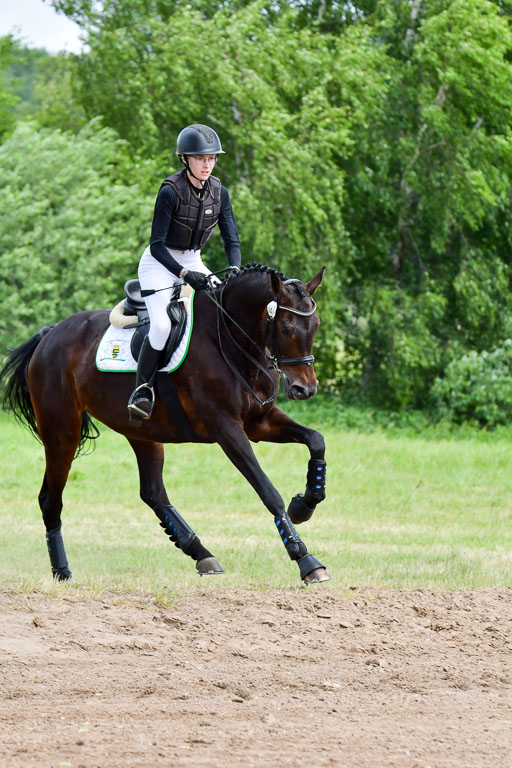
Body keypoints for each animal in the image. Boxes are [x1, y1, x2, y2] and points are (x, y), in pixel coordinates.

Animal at [0, 263, 329, 584]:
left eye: (316, 325)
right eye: (286, 328)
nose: (305, 389)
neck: (230, 339)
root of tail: (50, 335)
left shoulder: (259, 423)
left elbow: (316, 440)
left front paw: (304, 505)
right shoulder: (227, 430)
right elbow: (267, 490)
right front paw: (305, 558)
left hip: (141, 431)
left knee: (153, 492)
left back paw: (200, 552)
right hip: (61, 432)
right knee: (50, 499)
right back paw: (62, 570)